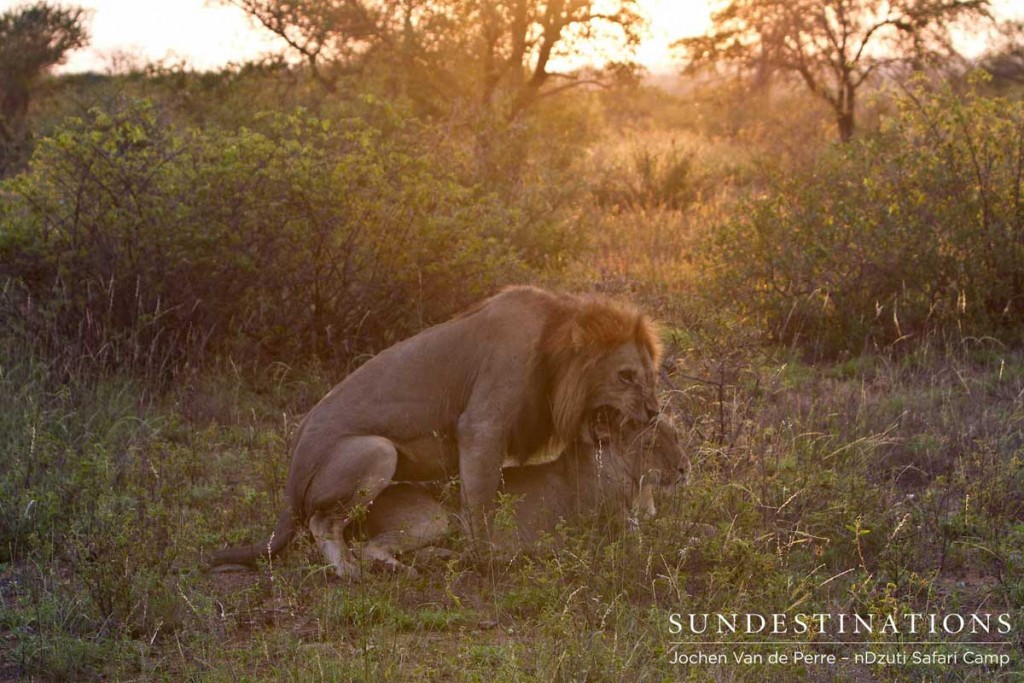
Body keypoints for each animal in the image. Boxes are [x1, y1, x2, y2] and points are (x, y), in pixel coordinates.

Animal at [356, 409, 692, 569]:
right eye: (650, 445)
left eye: (676, 436)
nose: (684, 468)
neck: (636, 484)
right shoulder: (617, 537)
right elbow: (666, 547)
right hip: (433, 520)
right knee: (369, 549)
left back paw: (448, 555)